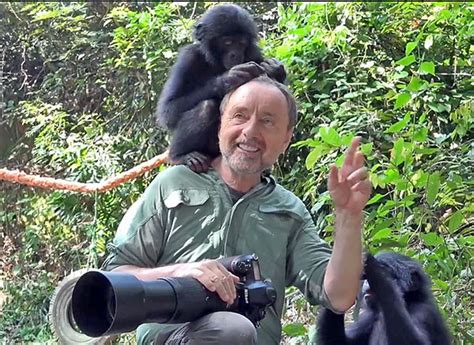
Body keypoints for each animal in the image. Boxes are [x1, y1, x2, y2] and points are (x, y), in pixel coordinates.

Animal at [157, 4, 286, 171]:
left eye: (241, 43)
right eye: (228, 42)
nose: (235, 54)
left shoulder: (254, 54)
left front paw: (274, 68)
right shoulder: (188, 58)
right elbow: (168, 109)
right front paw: (228, 78)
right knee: (206, 107)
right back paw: (181, 155)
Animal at [316, 250, 450, 344]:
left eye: (386, 268)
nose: (366, 282)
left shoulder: (424, 312)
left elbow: (414, 342)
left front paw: (375, 269)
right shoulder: (368, 317)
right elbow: (340, 342)